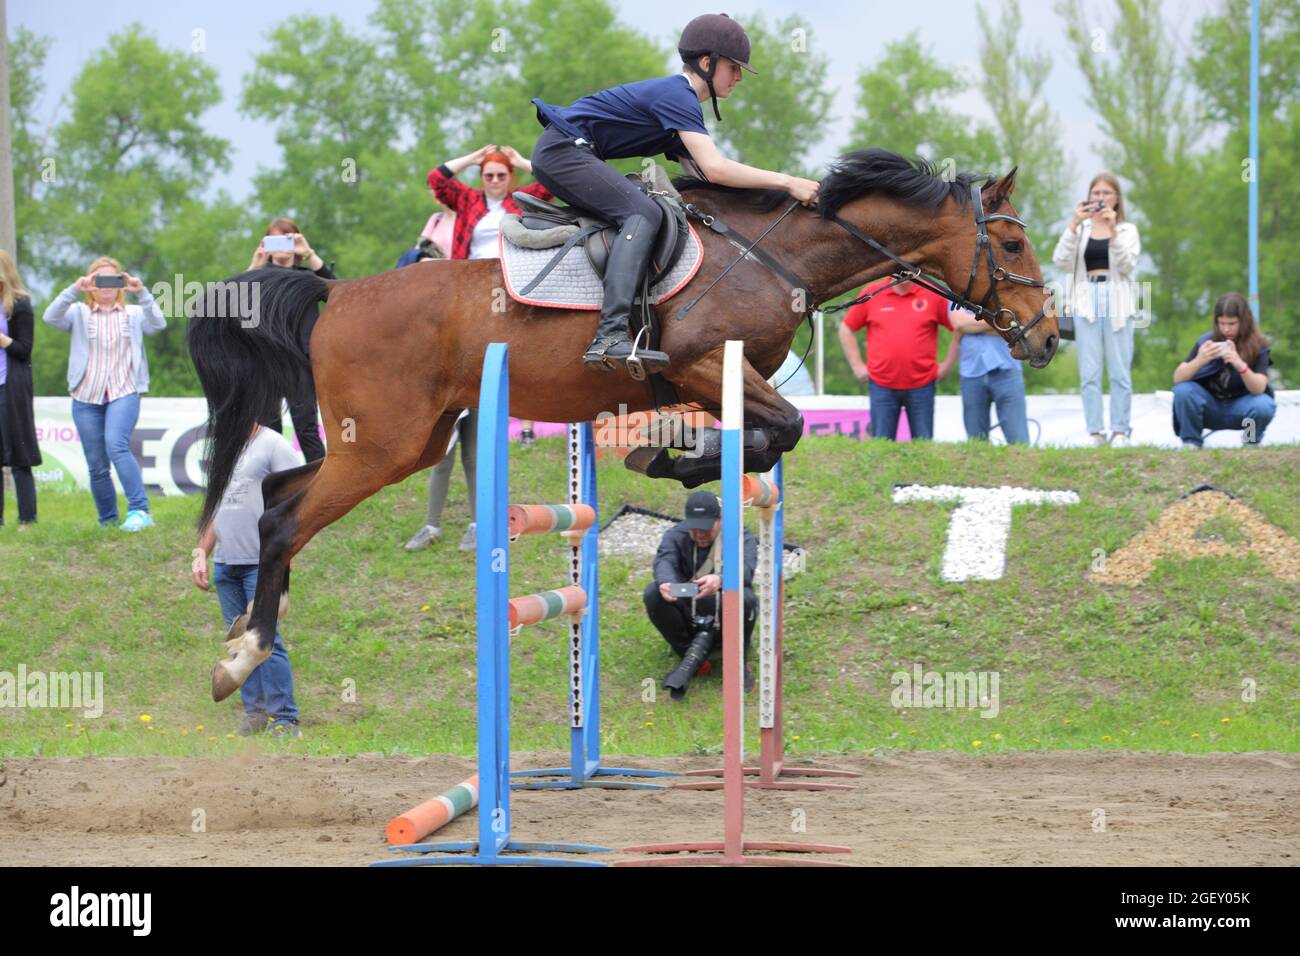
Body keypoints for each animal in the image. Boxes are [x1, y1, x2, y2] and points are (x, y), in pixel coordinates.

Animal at [189, 149, 1055, 702]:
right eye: (1012, 242)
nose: (1048, 338)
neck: (773, 256)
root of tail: (334, 293)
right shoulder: (703, 365)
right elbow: (784, 430)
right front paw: (669, 461)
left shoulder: (722, 384)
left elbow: (767, 438)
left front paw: (677, 459)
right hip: (383, 445)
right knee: (285, 519)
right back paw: (243, 656)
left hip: (405, 440)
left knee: (276, 490)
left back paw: (244, 627)